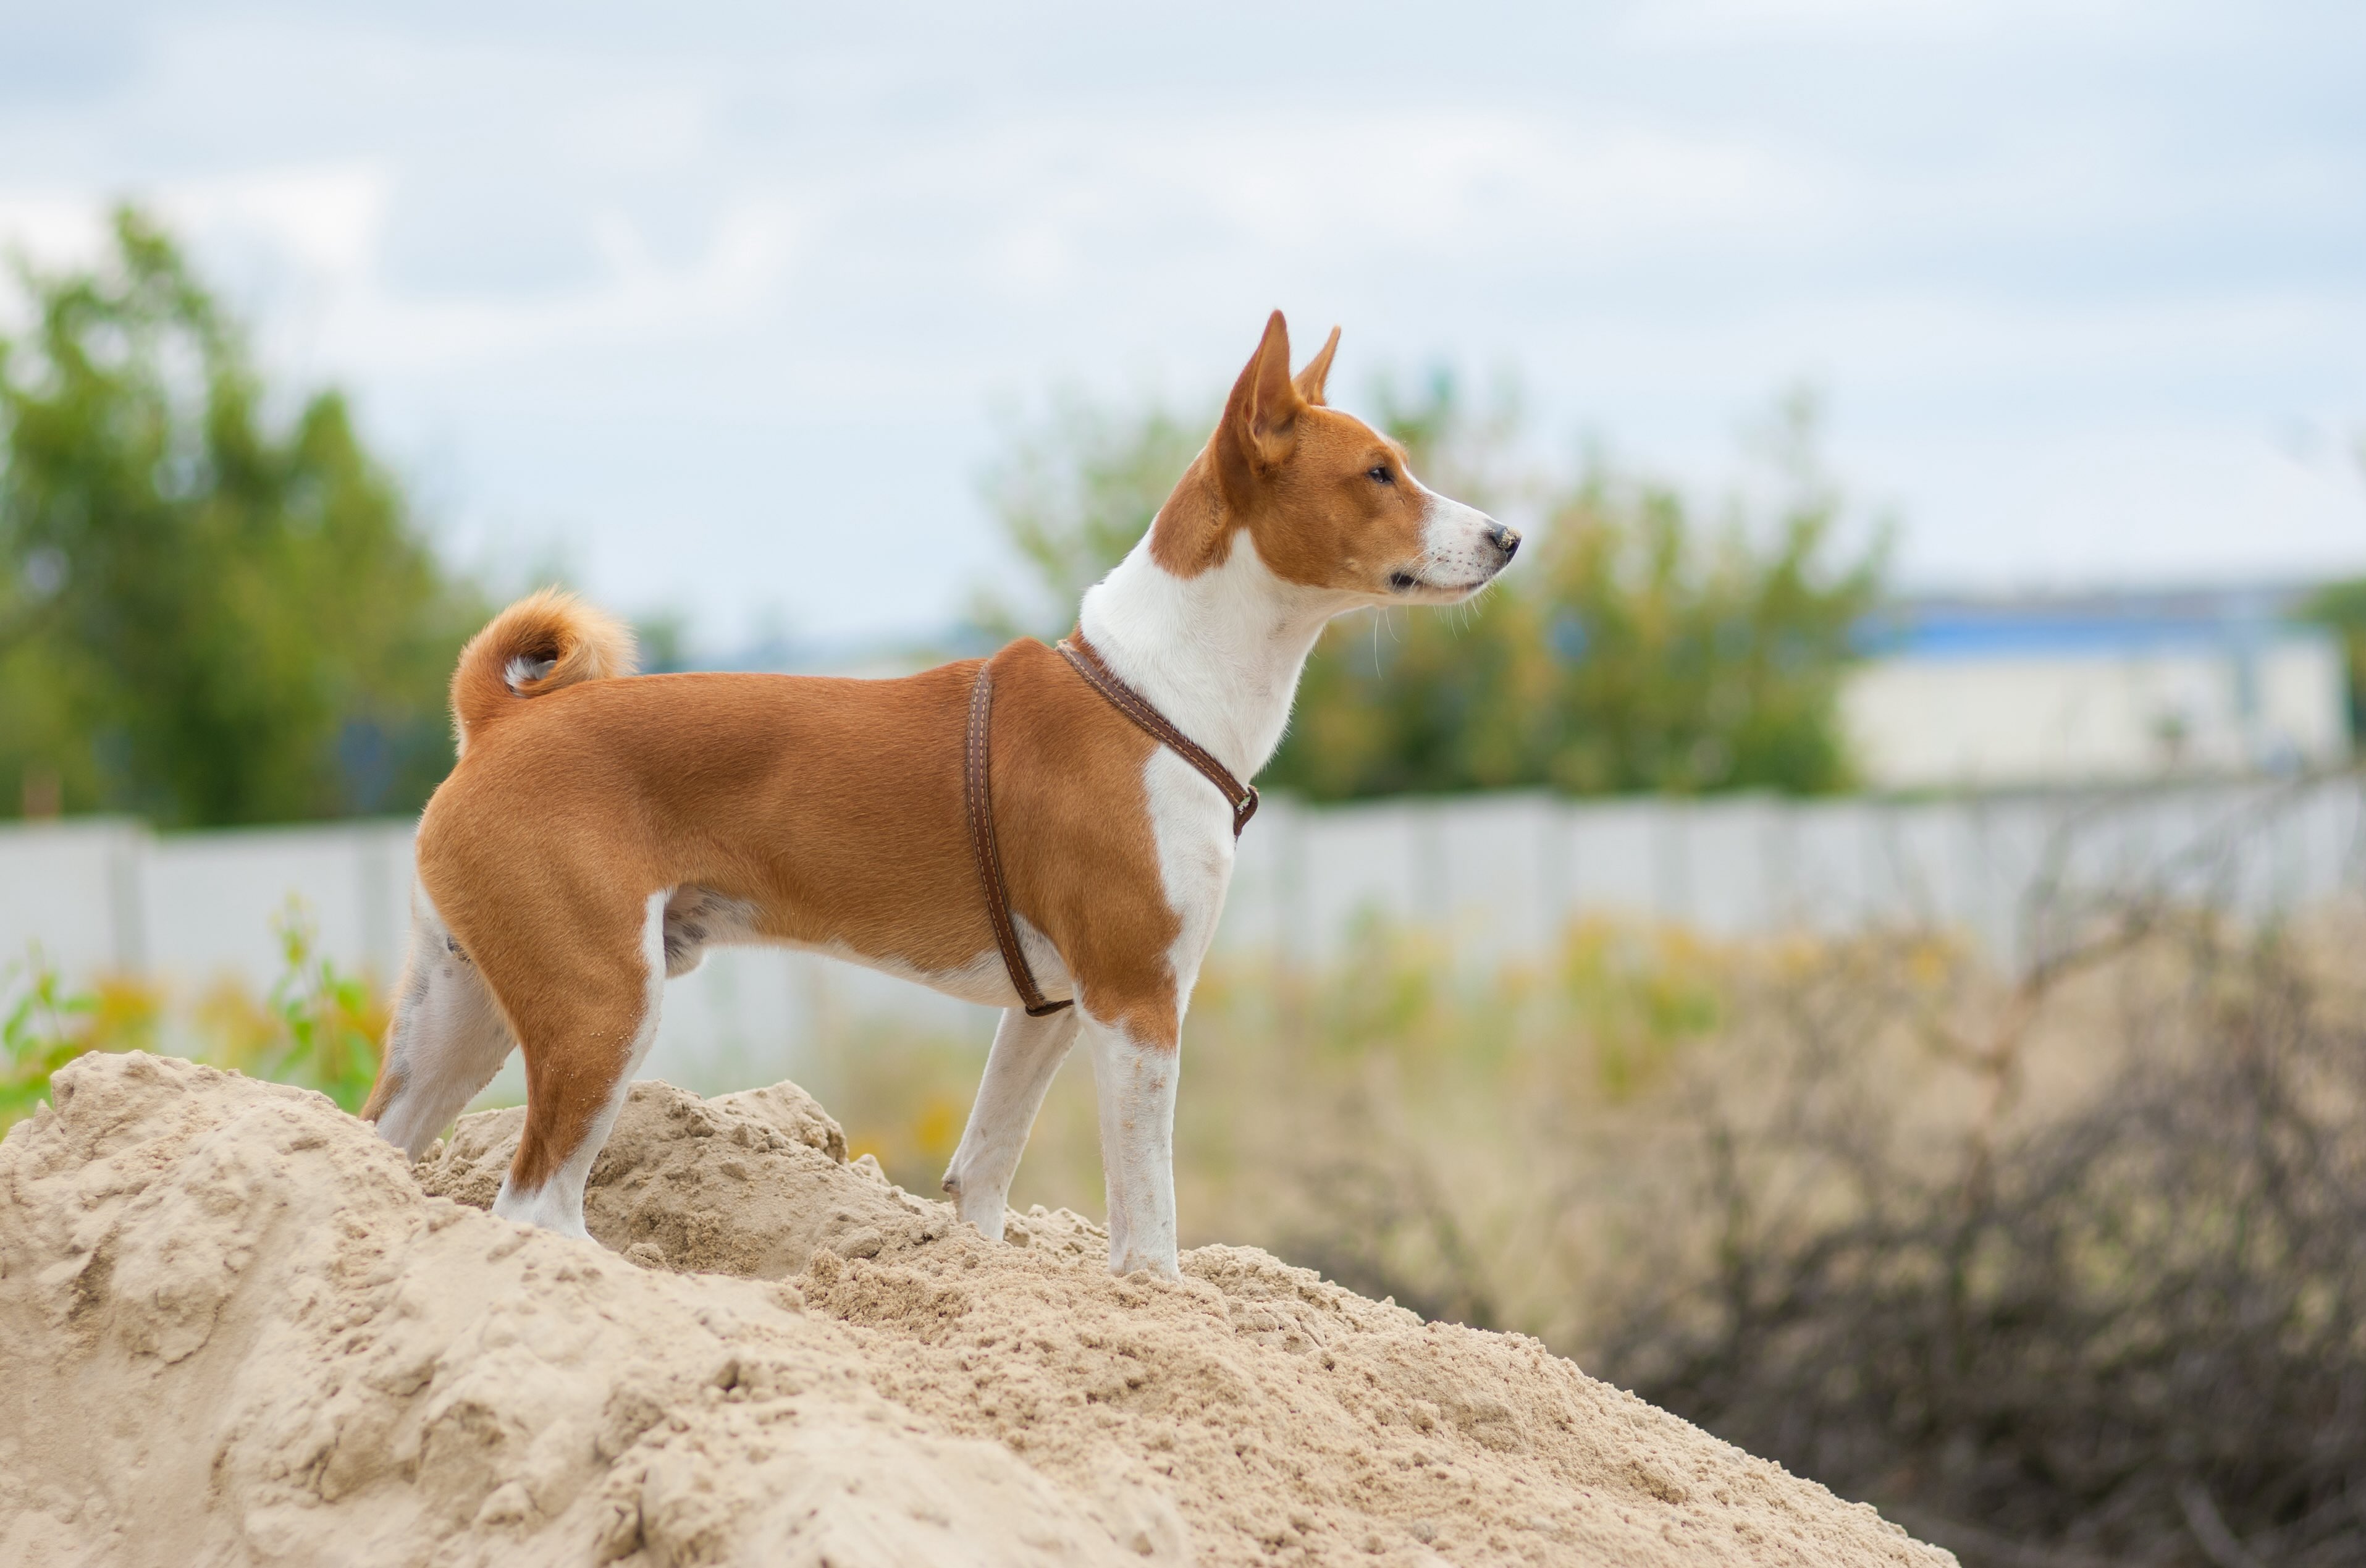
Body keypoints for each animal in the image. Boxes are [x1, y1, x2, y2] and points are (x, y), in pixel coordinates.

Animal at [360, 312, 1523, 1286]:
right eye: (1378, 472)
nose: (1509, 535)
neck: (1157, 688)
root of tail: (499, 720)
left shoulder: (1051, 1006)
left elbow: (983, 1170)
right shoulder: (1136, 1002)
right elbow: (1147, 1218)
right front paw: (1160, 1301)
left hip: (459, 1021)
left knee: (382, 1151)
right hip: (602, 1003)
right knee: (533, 1203)